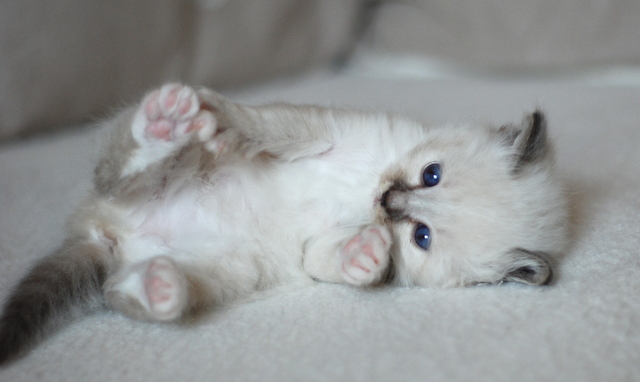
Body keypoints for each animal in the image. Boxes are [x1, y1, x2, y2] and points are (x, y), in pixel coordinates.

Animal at [0, 83, 568, 364]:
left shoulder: (312, 248)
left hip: (228, 270)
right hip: (160, 178)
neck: (362, 186)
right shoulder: (322, 131)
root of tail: (103, 234)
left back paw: (161, 287)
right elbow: (261, 124)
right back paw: (164, 122)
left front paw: (366, 254)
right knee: (119, 170)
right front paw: (217, 115)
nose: (387, 201)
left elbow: (335, 256)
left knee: (119, 290)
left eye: (420, 237)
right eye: (432, 174)